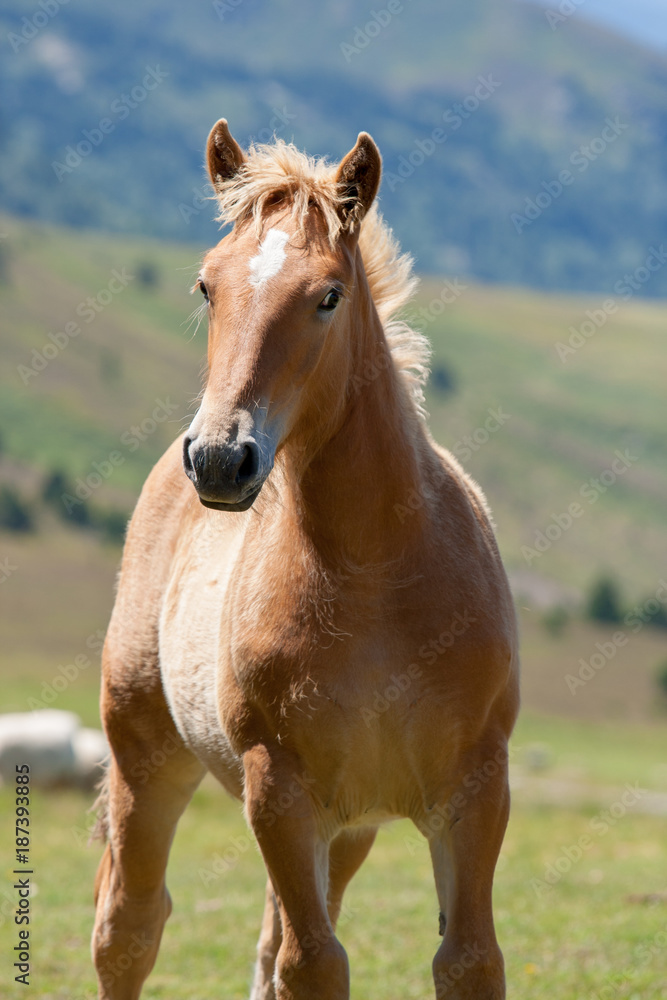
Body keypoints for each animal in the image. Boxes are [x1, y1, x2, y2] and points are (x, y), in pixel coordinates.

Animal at [91, 119, 519, 1000]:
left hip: (350, 830)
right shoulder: (279, 791)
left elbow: (468, 961)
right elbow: (312, 964)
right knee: (128, 929)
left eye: (327, 295)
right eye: (206, 287)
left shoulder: (475, 788)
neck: (375, 574)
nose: (221, 459)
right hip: (147, 757)